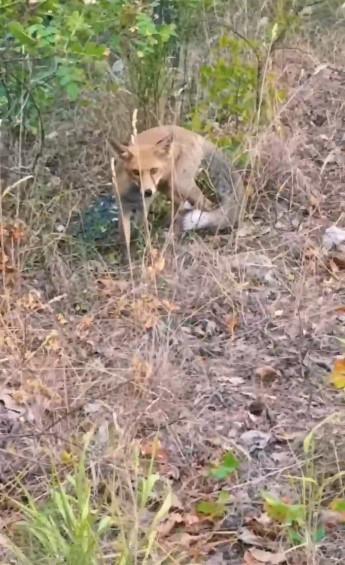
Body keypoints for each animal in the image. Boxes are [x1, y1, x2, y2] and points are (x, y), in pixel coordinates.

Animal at [108, 125, 245, 253]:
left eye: (154, 170)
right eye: (135, 172)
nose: (147, 192)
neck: (133, 195)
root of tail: (195, 135)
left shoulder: (143, 208)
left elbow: (141, 232)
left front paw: (144, 253)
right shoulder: (123, 208)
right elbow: (124, 239)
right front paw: (127, 257)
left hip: (180, 184)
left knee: (207, 205)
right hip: (168, 188)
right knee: (182, 206)